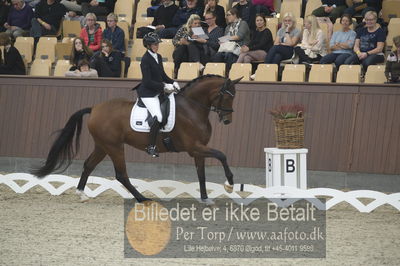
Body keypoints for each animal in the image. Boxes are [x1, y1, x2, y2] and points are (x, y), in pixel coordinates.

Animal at [31, 75, 242, 204]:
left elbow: (202, 174)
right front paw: (230, 184)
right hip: (114, 147)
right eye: (226, 96)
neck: (192, 108)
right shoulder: (194, 147)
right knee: (121, 175)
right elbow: (222, 155)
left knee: (89, 165)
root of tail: (95, 108)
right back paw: (142, 199)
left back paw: (81, 194)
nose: (227, 120)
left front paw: (206, 198)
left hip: (102, 146)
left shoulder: (199, 149)